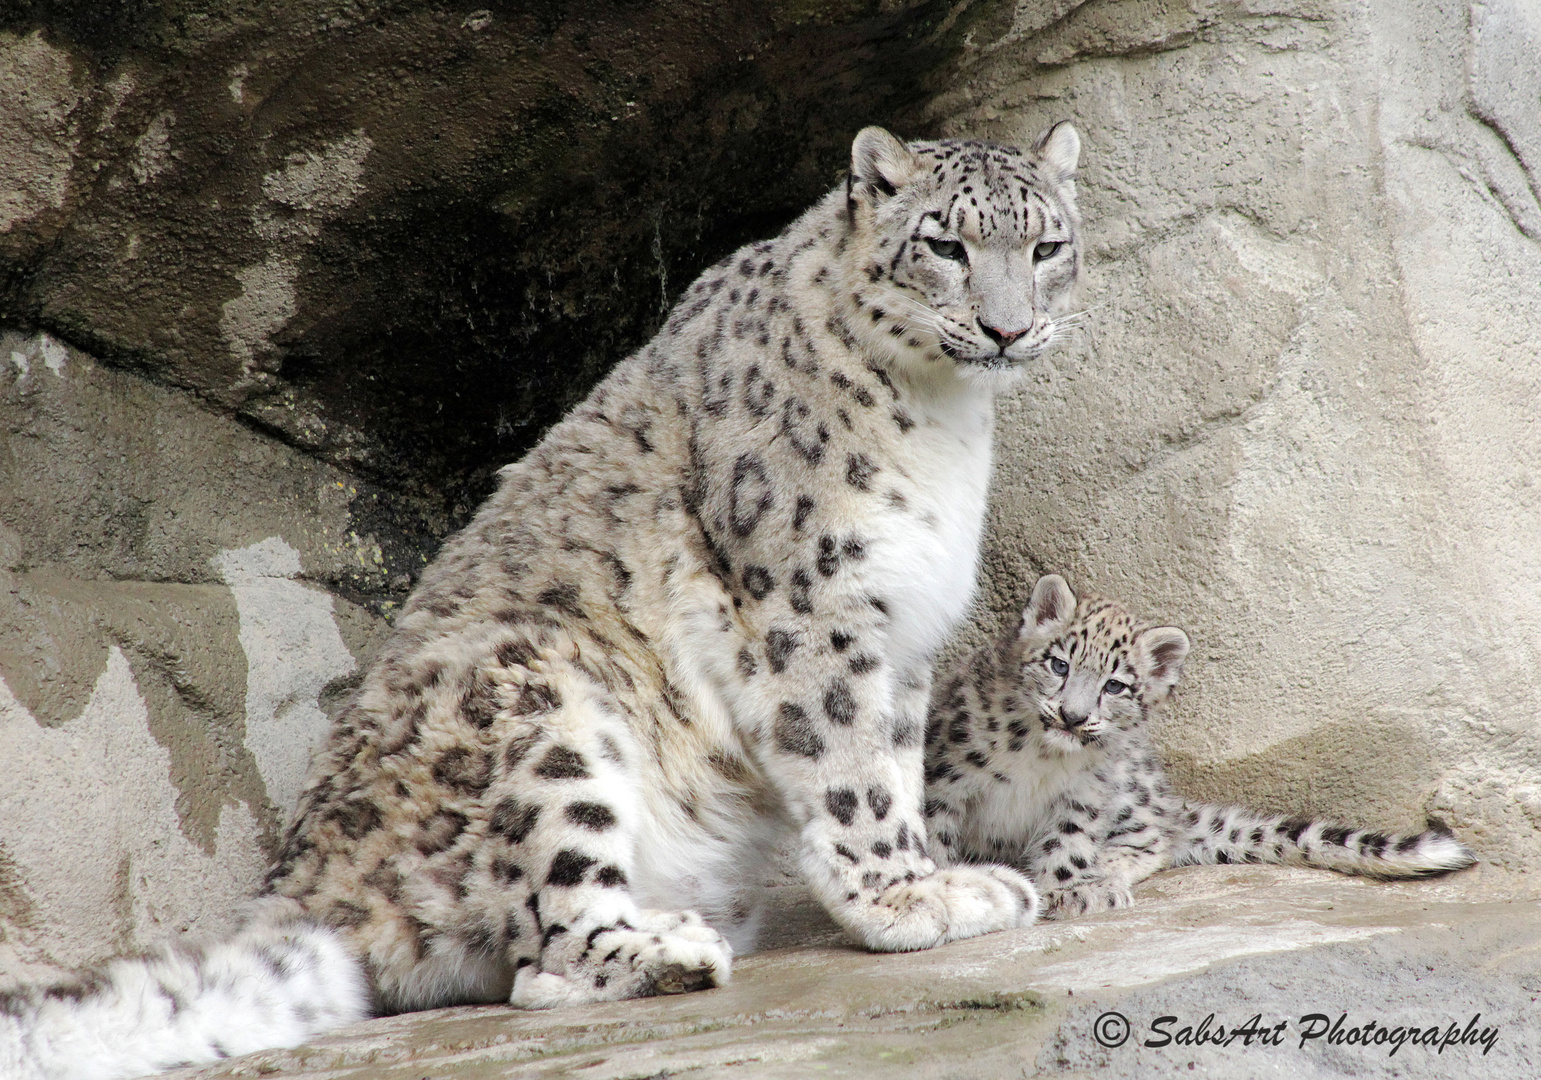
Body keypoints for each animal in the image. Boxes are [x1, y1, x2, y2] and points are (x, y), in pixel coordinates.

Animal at [0, 122, 1084, 1072]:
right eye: (944, 244)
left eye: (1046, 246)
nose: (1008, 327)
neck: (945, 422)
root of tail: (298, 885)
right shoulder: (811, 604)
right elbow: (852, 770)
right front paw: (908, 901)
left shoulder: (901, 636)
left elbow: (893, 760)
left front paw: (938, 877)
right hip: (538, 700)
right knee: (541, 950)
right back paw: (670, 946)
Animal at [918, 573, 1473, 918]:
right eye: (1059, 664)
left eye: (1115, 686)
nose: (1073, 717)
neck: (1043, 759)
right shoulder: (947, 777)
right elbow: (934, 836)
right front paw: (947, 885)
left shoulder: (1086, 793)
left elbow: (1069, 841)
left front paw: (1071, 889)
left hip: (1133, 792)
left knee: (1154, 836)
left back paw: (1107, 875)